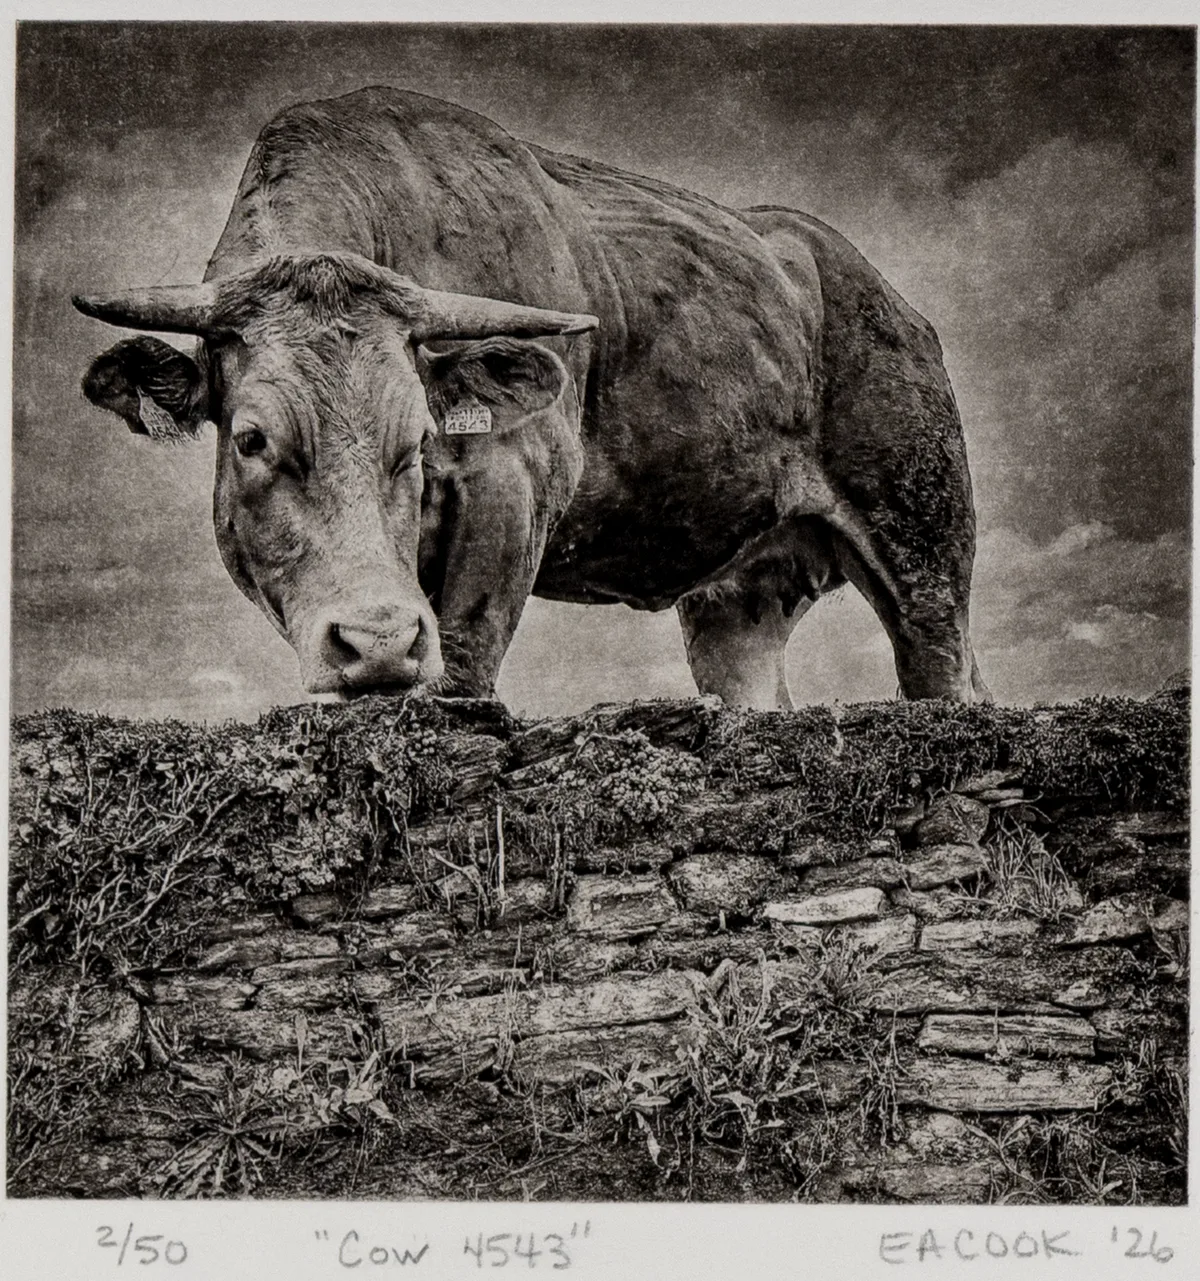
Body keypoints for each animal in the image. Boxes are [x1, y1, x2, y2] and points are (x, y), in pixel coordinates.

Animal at [74, 86, 990, 710]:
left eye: (418, 441)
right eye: (251, 439)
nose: (380, 639)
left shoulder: (512, 488)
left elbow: (463, 663)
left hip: (924, 542)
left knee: (945, 670)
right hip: (740, 598)